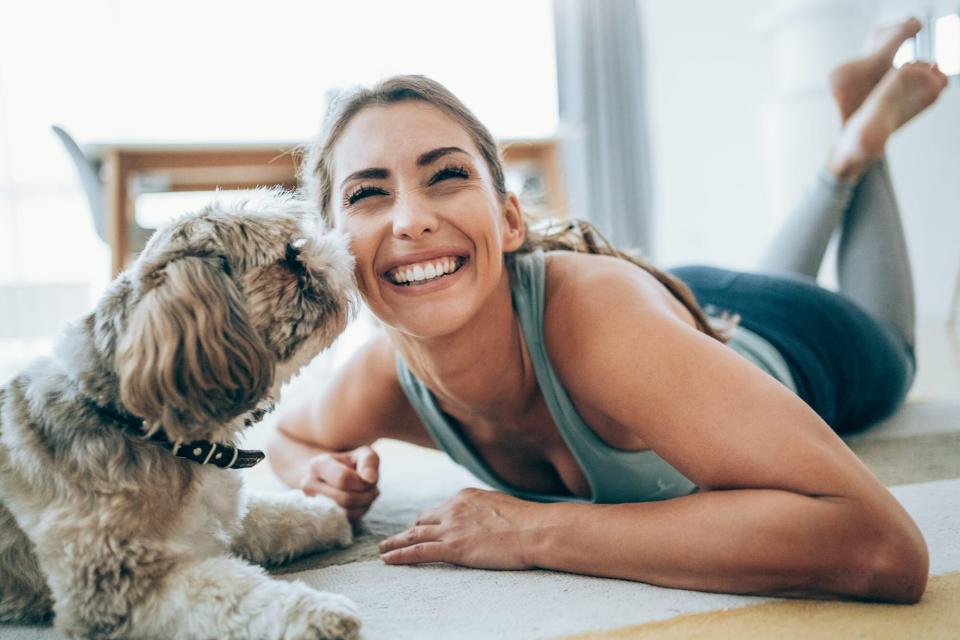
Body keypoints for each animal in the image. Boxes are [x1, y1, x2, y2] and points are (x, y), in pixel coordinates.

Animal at [0, 191, 360, 640]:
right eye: (288, 256)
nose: (337, 250)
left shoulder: (221, 517)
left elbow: (270, 514)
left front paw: (326, 514)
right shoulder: (119, 584)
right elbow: (232, 595)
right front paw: (318, 614)